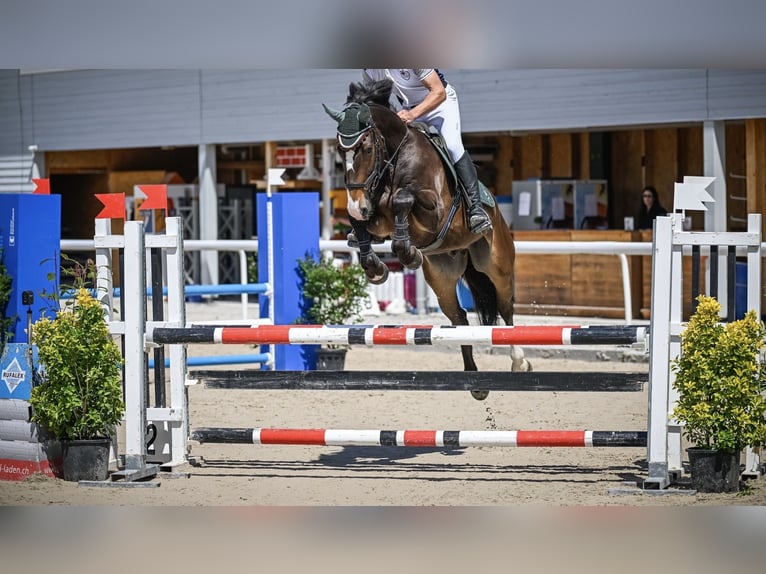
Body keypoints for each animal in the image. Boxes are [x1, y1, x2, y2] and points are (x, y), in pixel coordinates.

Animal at [320, 79, 532, 398]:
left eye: (366, 149)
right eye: (337, 151)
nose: (357, 203)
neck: (393, 160)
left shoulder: (435, 211)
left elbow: (402, 200)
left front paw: (407, 253)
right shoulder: (373, 214)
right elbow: (363, 225)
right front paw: (377, 267)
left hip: (497, 265)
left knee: (506, 307)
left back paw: (519, 362)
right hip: (442, 276)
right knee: (459, 319)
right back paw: (475, 382)